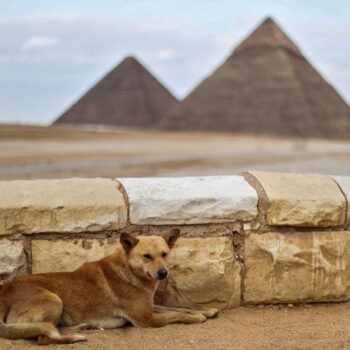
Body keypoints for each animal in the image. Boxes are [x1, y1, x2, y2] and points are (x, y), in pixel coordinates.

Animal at [0, 228, 219, 346]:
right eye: (147, 256)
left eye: (164, 254)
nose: (163, 273)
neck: (129, 271)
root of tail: (4, 292)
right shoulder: (146, 319)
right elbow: (176, 315)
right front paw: (197, 318)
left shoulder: (150, 307)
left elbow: (178, 307)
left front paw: (205, 310)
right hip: (54, 299)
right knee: (43, 338)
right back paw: (75, 337)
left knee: (50, 329)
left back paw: (82, 326)